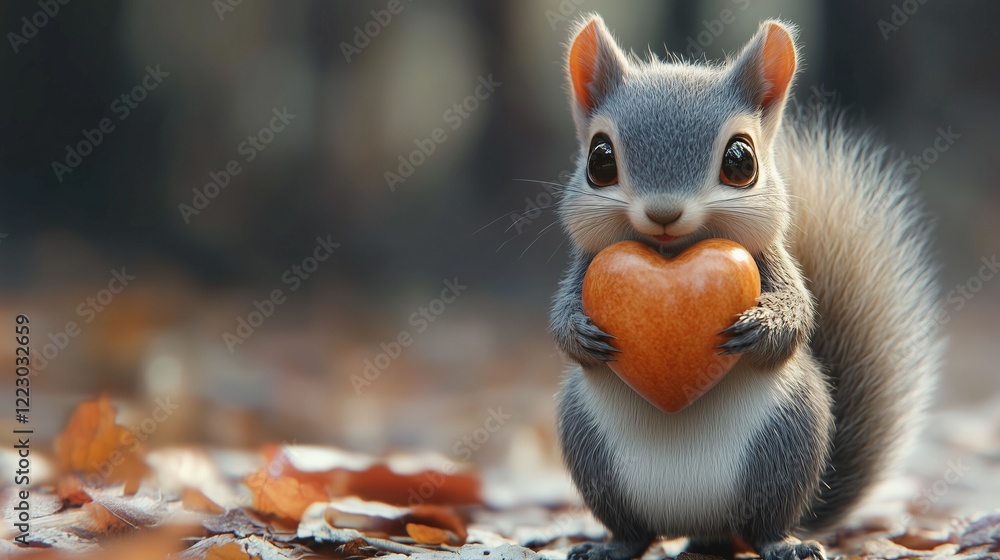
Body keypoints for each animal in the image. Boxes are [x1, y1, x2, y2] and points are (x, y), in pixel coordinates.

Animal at [549, 15, 943, 560]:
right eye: (599, 159)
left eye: (741, 160)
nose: (664, 212)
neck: (671, 258)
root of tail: (695, 521)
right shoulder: (583, 268)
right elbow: (560, 318)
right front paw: (580, 333)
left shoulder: (774, 263)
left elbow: (799, 313)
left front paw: (762, 325)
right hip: (592, 453)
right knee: (634, 531)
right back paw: (612, 546)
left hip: (785, 446)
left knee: (764, 525)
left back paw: (782, 544)